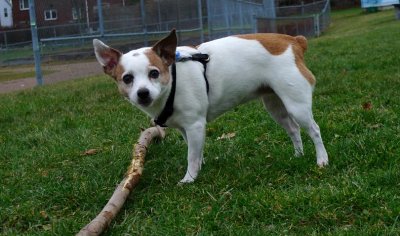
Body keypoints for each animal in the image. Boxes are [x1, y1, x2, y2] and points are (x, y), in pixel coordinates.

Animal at [94, 29, 328, 183]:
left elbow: (191, 155)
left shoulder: (195, 125)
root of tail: (294, 41)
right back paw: (298, 155)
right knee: (293, 129)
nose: (142, 93)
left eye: (154, 73)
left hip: (296, 104)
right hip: (275, 106)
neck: (172, 82)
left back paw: (322, 160)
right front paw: (199, 167)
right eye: (127, 79)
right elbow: (195, 151)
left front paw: (189, 178)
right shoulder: (187, 129)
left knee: (314, 130)